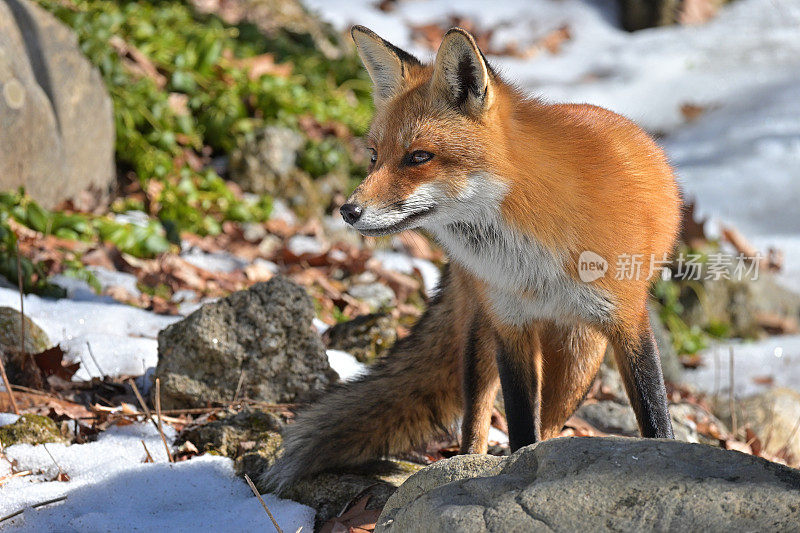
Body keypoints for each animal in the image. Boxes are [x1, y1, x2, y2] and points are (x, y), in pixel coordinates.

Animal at [264, 25, 680, 490]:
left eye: (419, 156)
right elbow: (521, 429)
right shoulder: (511, 326)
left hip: (580, 357)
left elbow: (654, 413)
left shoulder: (628, 321)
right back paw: (468, 464)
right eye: (374, 156)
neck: (531, 258)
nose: (348, 211)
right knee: (477, 417)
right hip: (483, 334)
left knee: (552, 420)